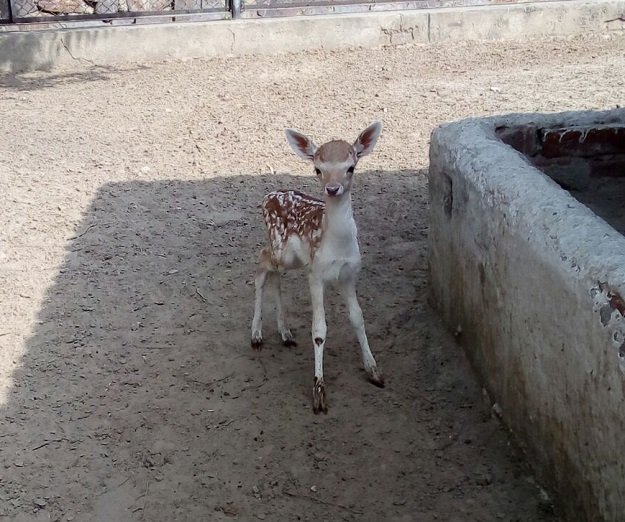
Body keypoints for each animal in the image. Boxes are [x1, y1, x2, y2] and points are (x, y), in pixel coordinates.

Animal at [249, 122, 386, 410]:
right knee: (261, 262)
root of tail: (269, 196)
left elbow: (358, 318)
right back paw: (256, 335)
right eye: (317, 169)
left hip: (292, 259)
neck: (338, 244)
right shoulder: (316, 273)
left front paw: (374, 371)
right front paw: (319, 392)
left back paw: (285, 332)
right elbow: (320, 330)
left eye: (351, 167)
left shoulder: (349, 275)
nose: (332, 189)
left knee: (273, 272)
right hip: (280, 249)